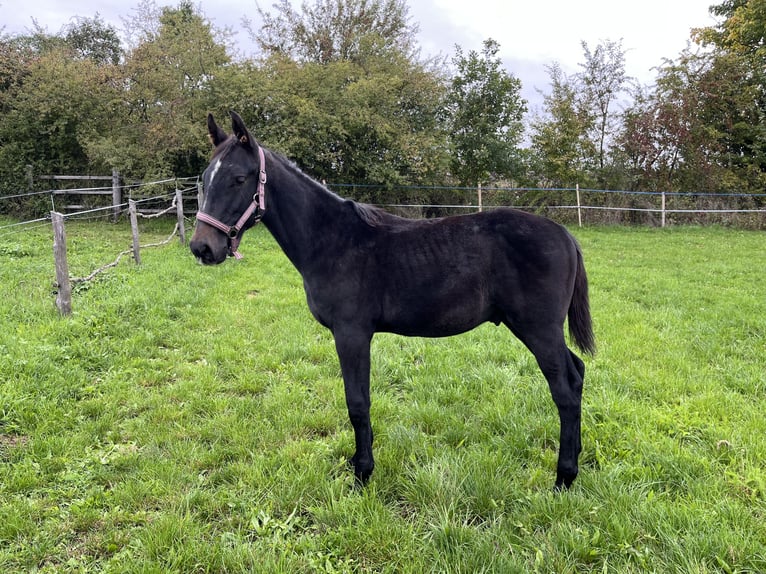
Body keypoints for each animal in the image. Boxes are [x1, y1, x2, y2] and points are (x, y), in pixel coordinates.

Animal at [190, 111, 595, 490]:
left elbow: (357, 403)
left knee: (564, 390)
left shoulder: (351, 334)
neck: (332, 240)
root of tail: (564, 234)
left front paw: (362, 474)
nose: (202, 248)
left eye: (239, 179)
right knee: (577, 374)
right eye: (204, 178)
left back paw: (563, 478)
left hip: (538, 329)